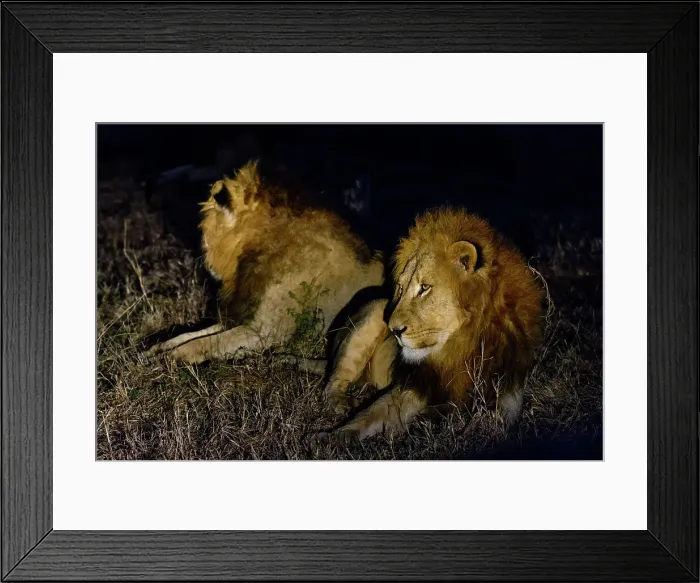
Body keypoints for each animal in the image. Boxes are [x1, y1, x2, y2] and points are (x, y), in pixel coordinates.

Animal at [145, 160, 384, 364]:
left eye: (205, 235)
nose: (206, 265)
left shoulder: (266, 330)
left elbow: (206, 342)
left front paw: (169, 358)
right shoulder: (242, 315)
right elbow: (192, 334)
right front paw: (157, 347)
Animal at [320, 206, 543, 440]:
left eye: (424, 287)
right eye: (400, 288)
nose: (394, 330)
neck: (462, 347)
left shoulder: (508, 395)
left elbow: (487, 424)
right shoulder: (414, 386)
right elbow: (368, 416)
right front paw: (330, 438)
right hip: (374, 310)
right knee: (333, 382)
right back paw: (341, 404)